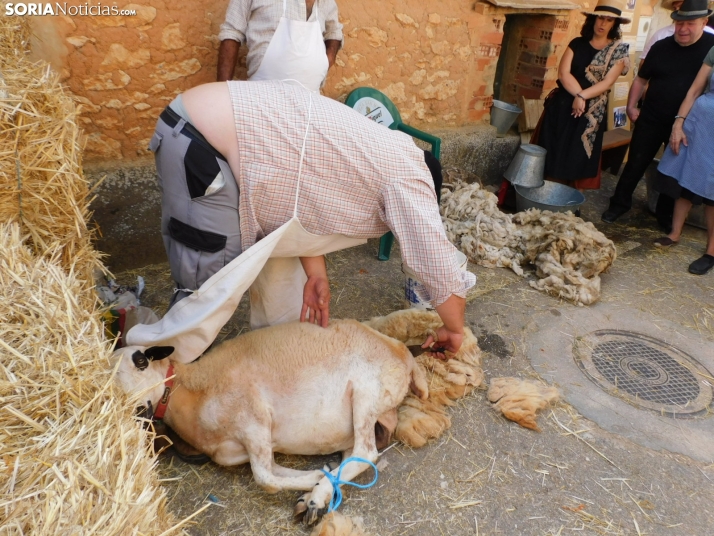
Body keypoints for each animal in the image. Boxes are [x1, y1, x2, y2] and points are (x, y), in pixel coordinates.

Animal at [111, 310, 478, 524]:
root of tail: (403, 353)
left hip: (365, 394)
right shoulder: (241, 449)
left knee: (367, 453)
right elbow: (273, 470)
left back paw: (317, 496)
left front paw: (316, 478)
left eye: (141, 361)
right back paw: (320, 495)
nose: (138, 411)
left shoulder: (255, 420)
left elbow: (265, 478)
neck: (191, 388)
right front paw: (317, 478)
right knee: (356, 455)